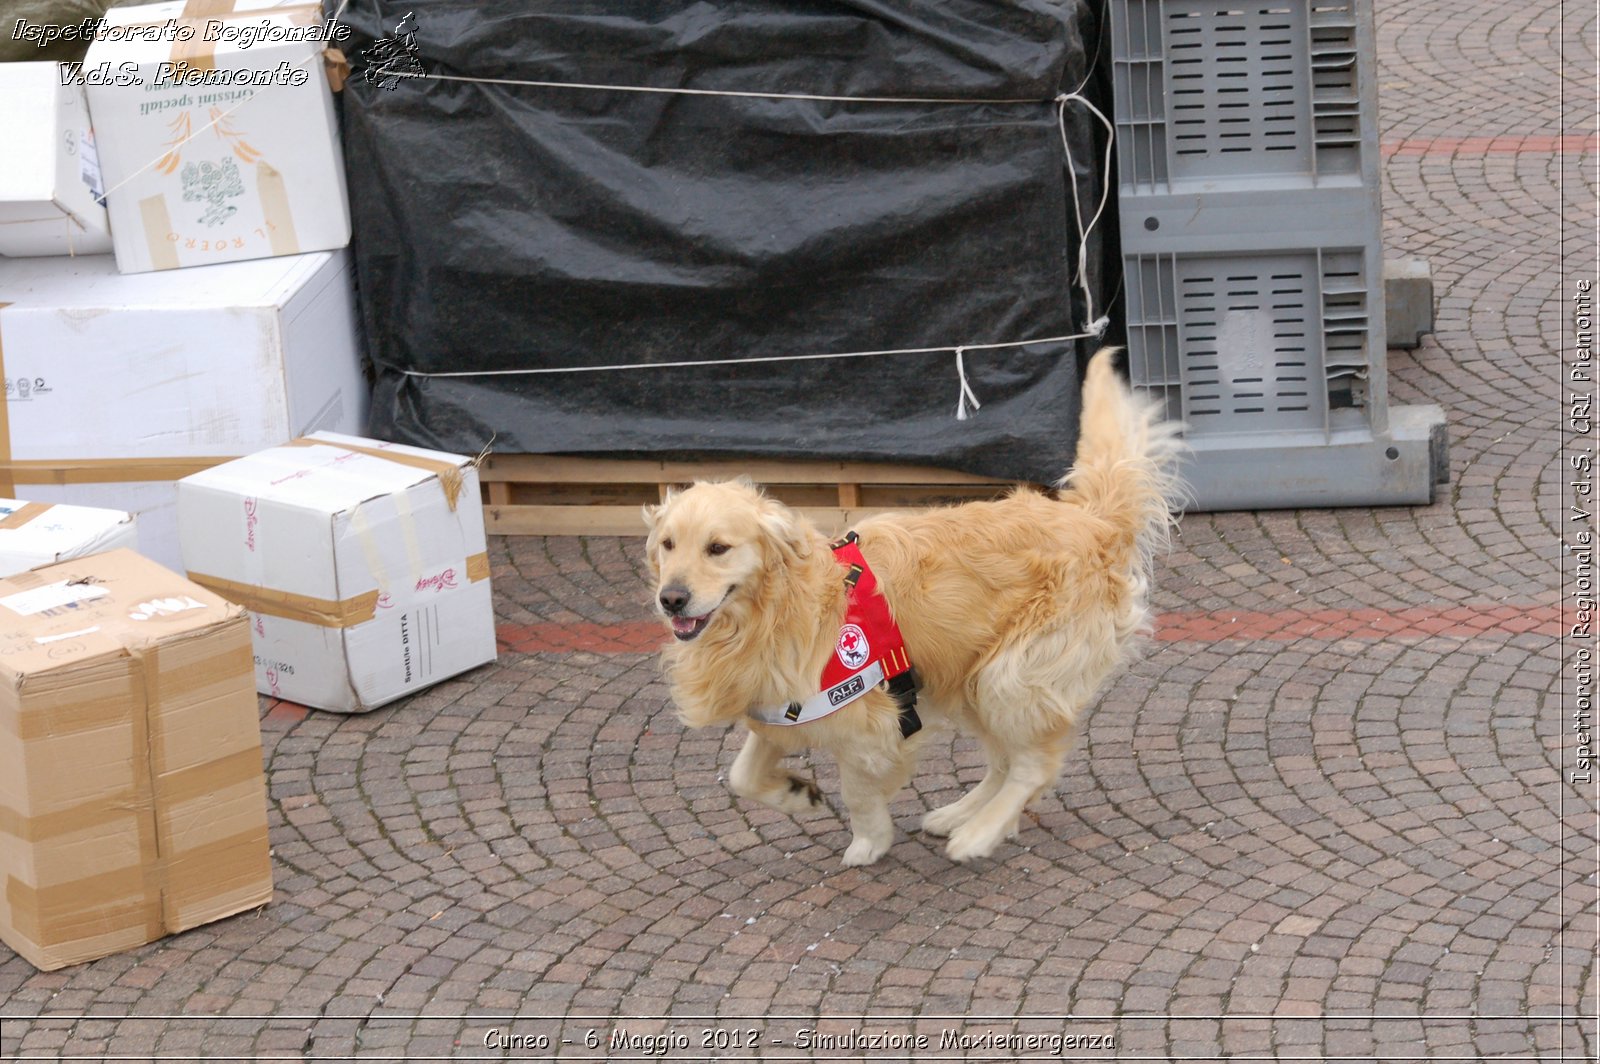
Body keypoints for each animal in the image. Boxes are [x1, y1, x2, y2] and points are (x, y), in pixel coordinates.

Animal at [643, 348, 1184, 864]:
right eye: (668, 544)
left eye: (718, 548)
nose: (671, 598)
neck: (778, 609)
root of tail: (1092, 521)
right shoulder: (780, 707)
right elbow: (742, 776)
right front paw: (797, 794)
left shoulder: (870, 721)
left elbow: (857, 790)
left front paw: (869, 841)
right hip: (967, 678)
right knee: (1006, 761)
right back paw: (961, 815)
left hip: (1011, 675)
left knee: (1034, 766)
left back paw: (978, 834)